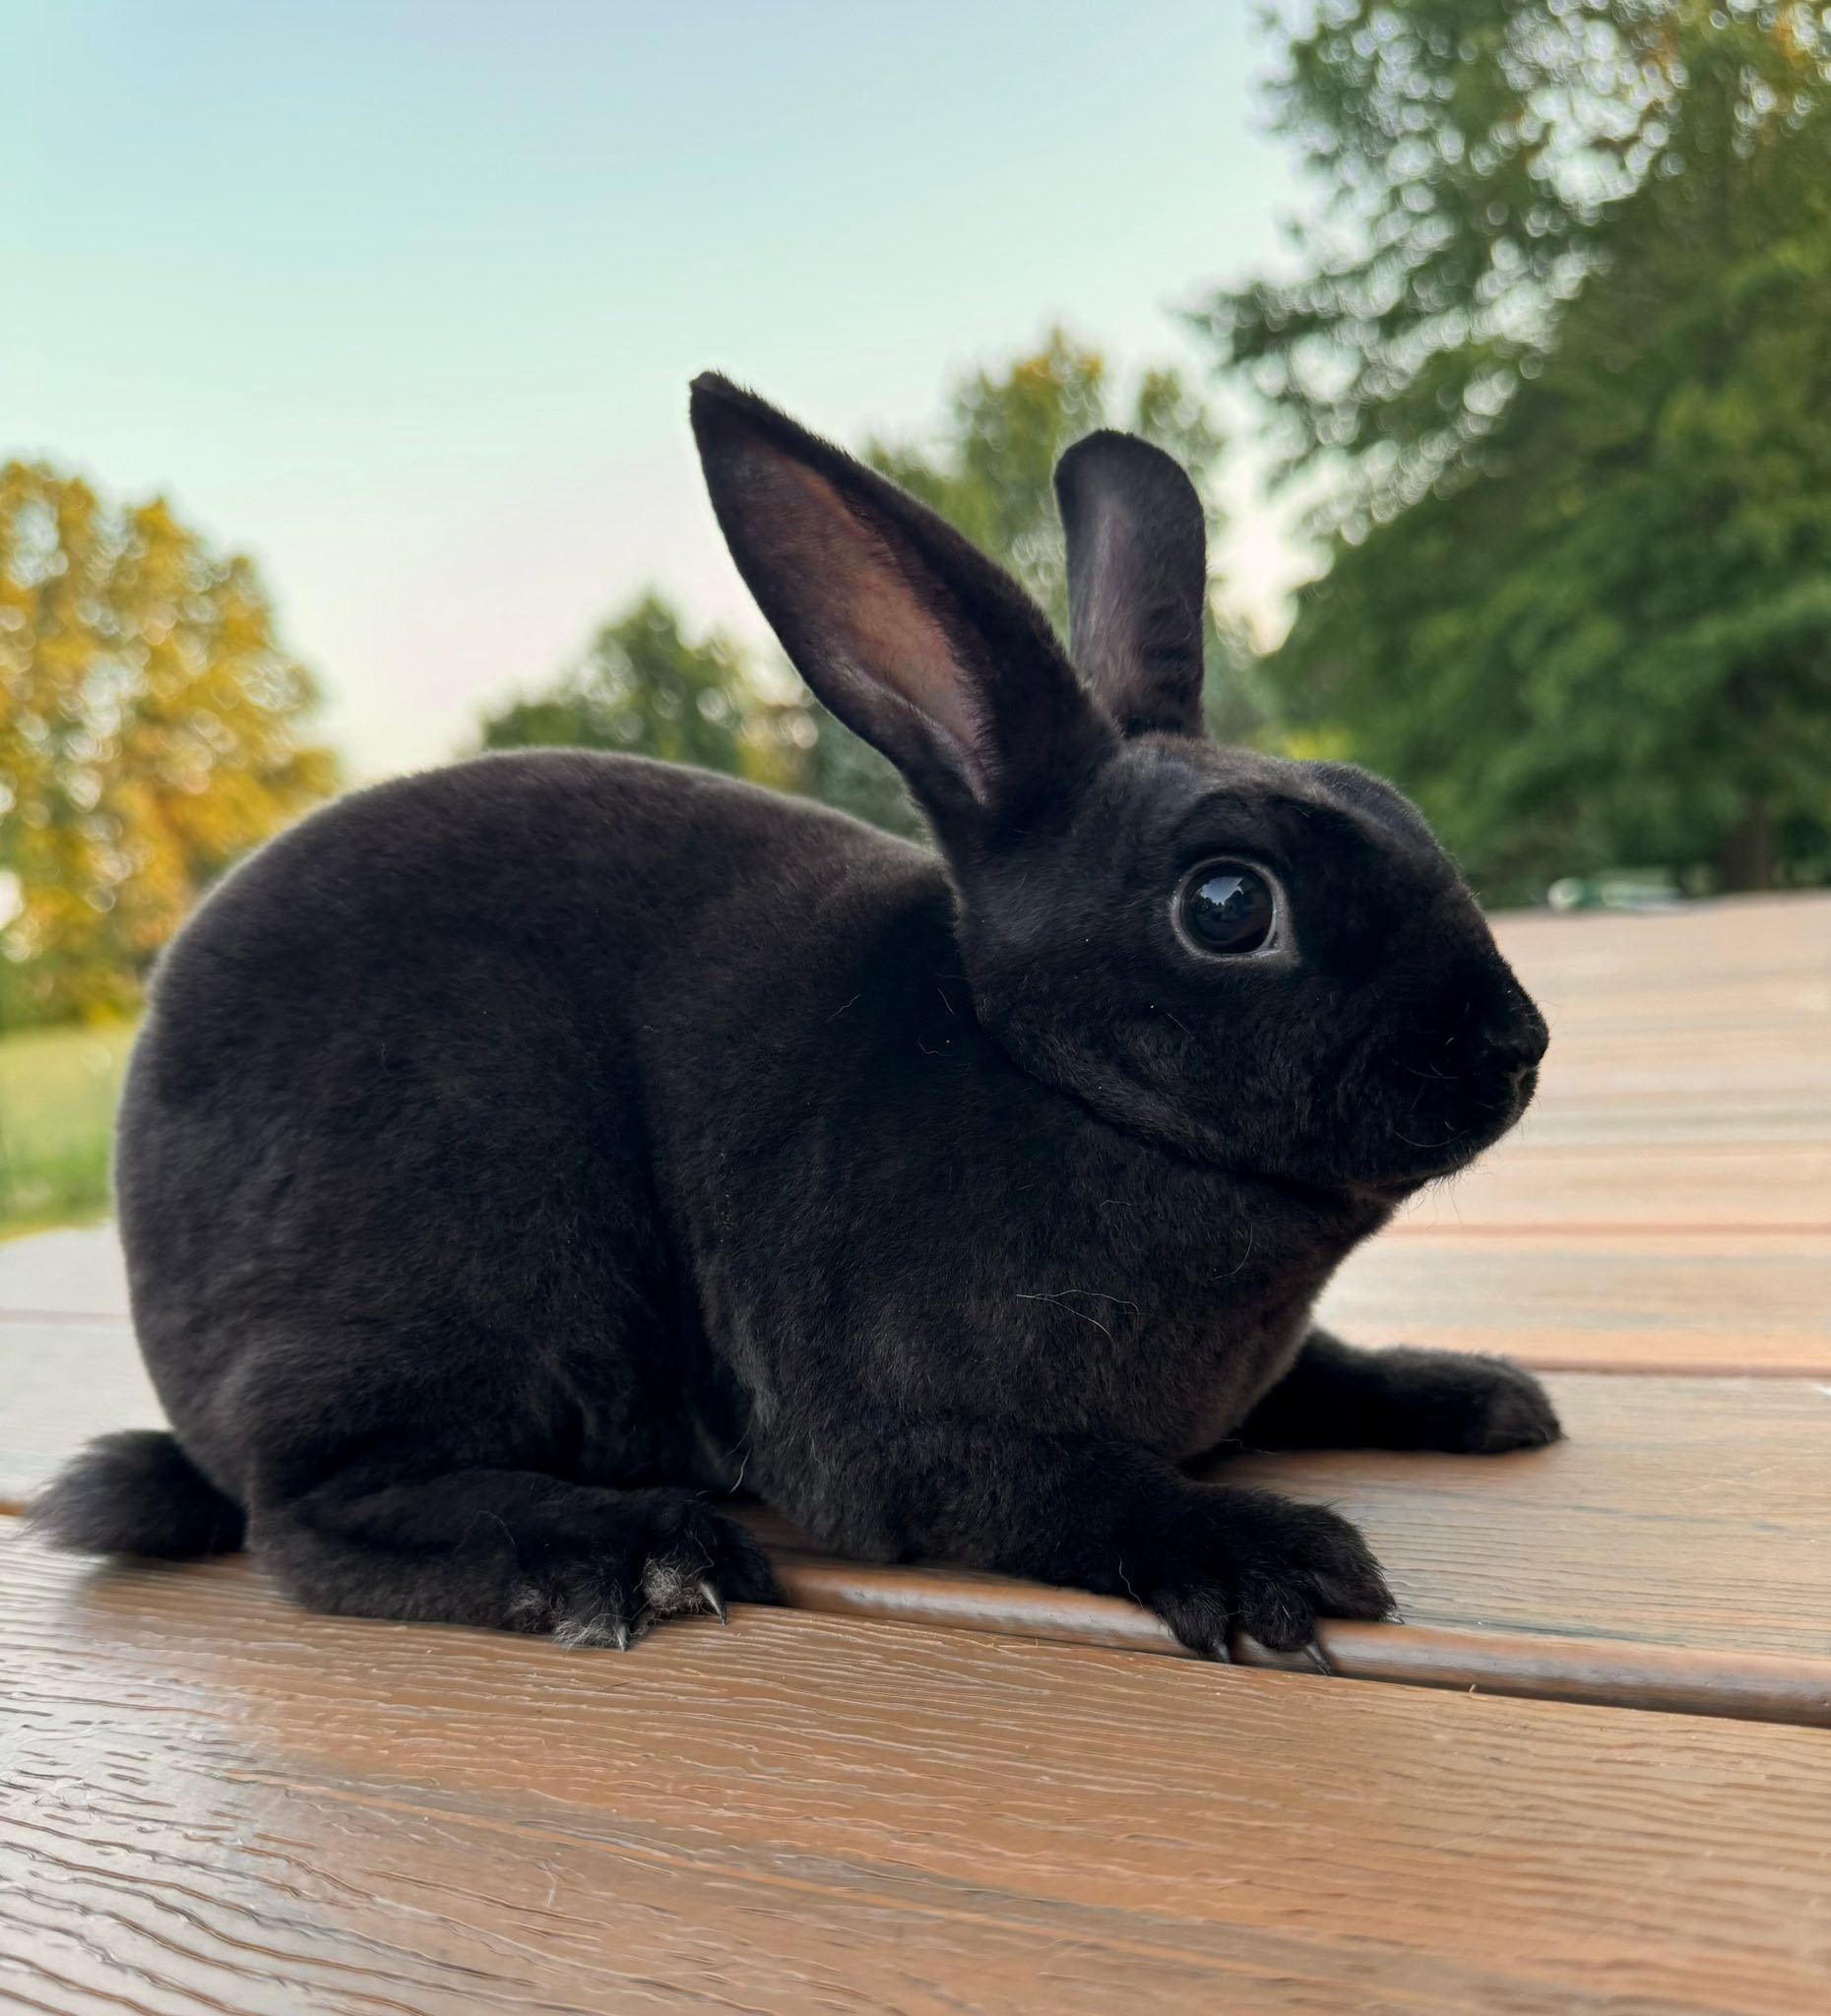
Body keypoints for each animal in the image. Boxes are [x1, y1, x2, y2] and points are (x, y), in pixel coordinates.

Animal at [32, 373, 1560, 1662]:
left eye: (1386, 802)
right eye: (1231, 904)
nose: (1515, 1049)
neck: (1049, 1084)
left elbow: (1328, 1371)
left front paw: (1482, 1395)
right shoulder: (894, 1434)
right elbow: (1064, 1488)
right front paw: (1266, 1559)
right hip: (470, 1223)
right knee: (312, 1516)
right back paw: (635, 1554)